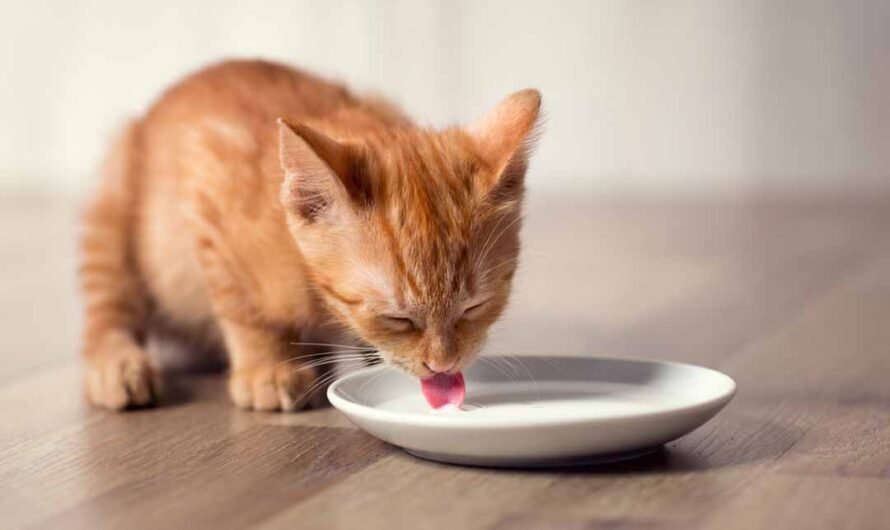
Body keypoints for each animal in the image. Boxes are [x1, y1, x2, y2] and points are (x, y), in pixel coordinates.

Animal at [80, 59, 540, 410]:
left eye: (476, 306)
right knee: (107, 307)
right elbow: (241, 307)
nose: (443, 365)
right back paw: (118, 366)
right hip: (114, 204)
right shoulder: (207, 181)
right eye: (397, 317)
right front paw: (266, 367)